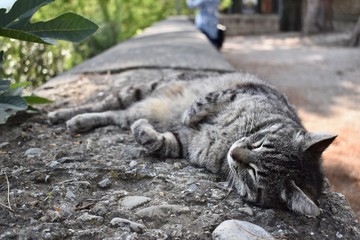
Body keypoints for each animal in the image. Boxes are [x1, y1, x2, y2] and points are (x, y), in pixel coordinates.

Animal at [47, 72, 334, 217]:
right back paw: (62, 114)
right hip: (140, 89)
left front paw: (145, 131)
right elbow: (202, 103)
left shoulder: (186, 143)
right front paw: (189, 114)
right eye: (259, 144)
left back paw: (83, 121)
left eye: (255, 174)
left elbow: (160, 142)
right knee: (103, 103)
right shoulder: (240, 90)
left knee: (116, 115)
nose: (234, 152)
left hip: (132, 109)